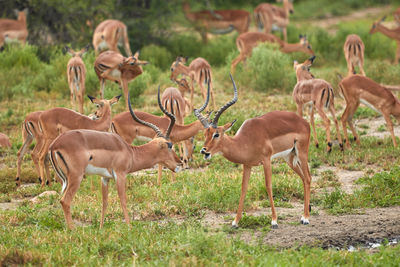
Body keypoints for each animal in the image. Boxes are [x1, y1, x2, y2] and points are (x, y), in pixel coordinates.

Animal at [49, 93, 182, 229]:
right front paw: (129, 227)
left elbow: (104, 202)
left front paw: (101, 228)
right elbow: (123, 200)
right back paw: (72, 230)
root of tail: (54, 145)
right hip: (76, 177)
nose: (180, 163)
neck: (130, 152)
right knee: (65, 201)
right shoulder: (120, 174)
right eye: (170, 145)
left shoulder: (105, 178)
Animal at [195, 75, 312, 228]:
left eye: (216, 134)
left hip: (302, 153)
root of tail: (305, 122)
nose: (204, 150)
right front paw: (235, 222)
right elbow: (243, 188)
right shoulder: (247, 165)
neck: (245, 140)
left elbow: (268, 186)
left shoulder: (266, 160)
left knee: (308, 178)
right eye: (205, 134)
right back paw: (304, 215)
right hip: (290, 158)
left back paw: (306, 218)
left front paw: (274, 221)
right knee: (304, 178)